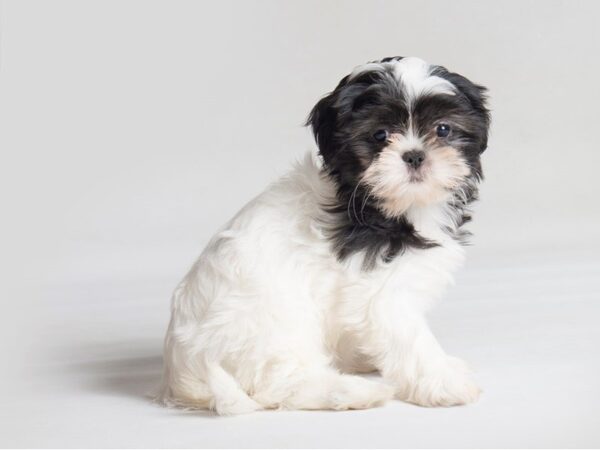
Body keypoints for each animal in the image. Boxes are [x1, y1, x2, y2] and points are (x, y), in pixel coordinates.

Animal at [161, 56, 492, 414]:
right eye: (380, 135)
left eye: (443, 129)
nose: (415, 154)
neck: (390, 207)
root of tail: (185, 370)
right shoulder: (381, 294)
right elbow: (412, 338)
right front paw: (443, 380)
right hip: (274, 324)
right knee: (280, 383)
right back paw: (354, 392)